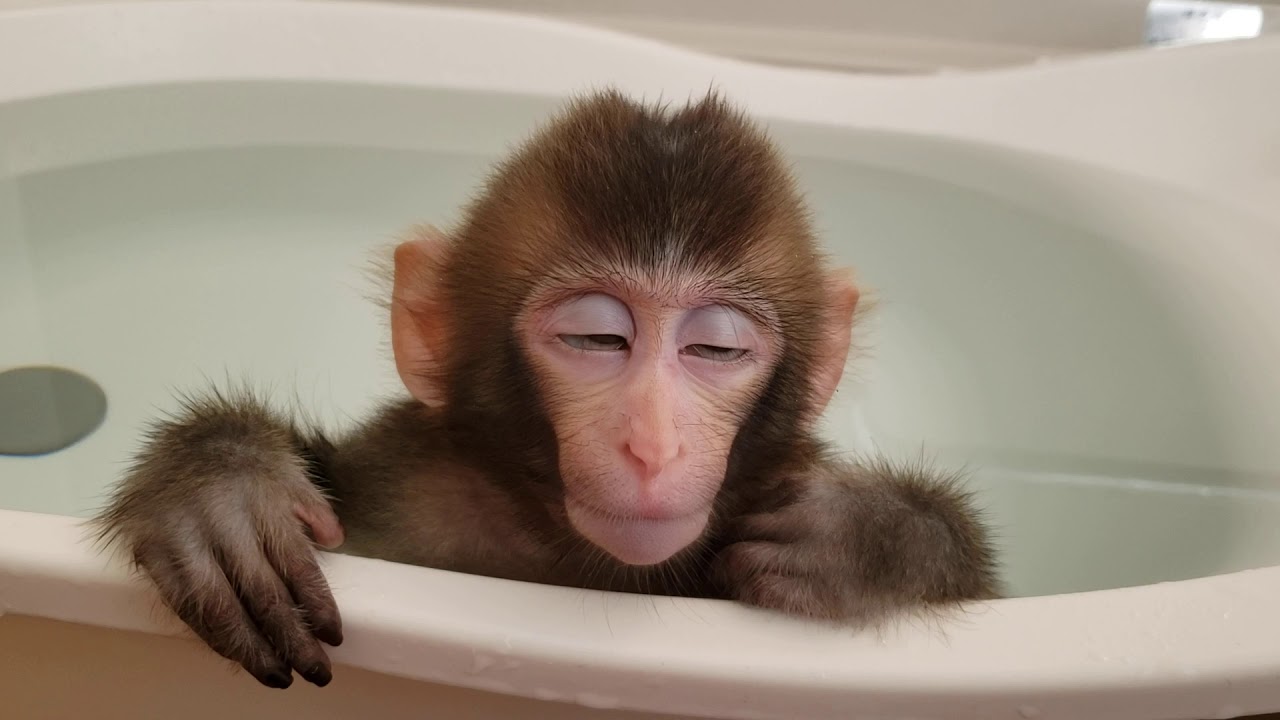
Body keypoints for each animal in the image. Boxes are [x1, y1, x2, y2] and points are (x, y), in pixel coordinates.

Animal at [92, 89, 999, 691]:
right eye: (597, 338)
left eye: (716, 347)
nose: (654, 443)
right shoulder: (404, 473)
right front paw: (221, 482)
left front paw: (869, 534)